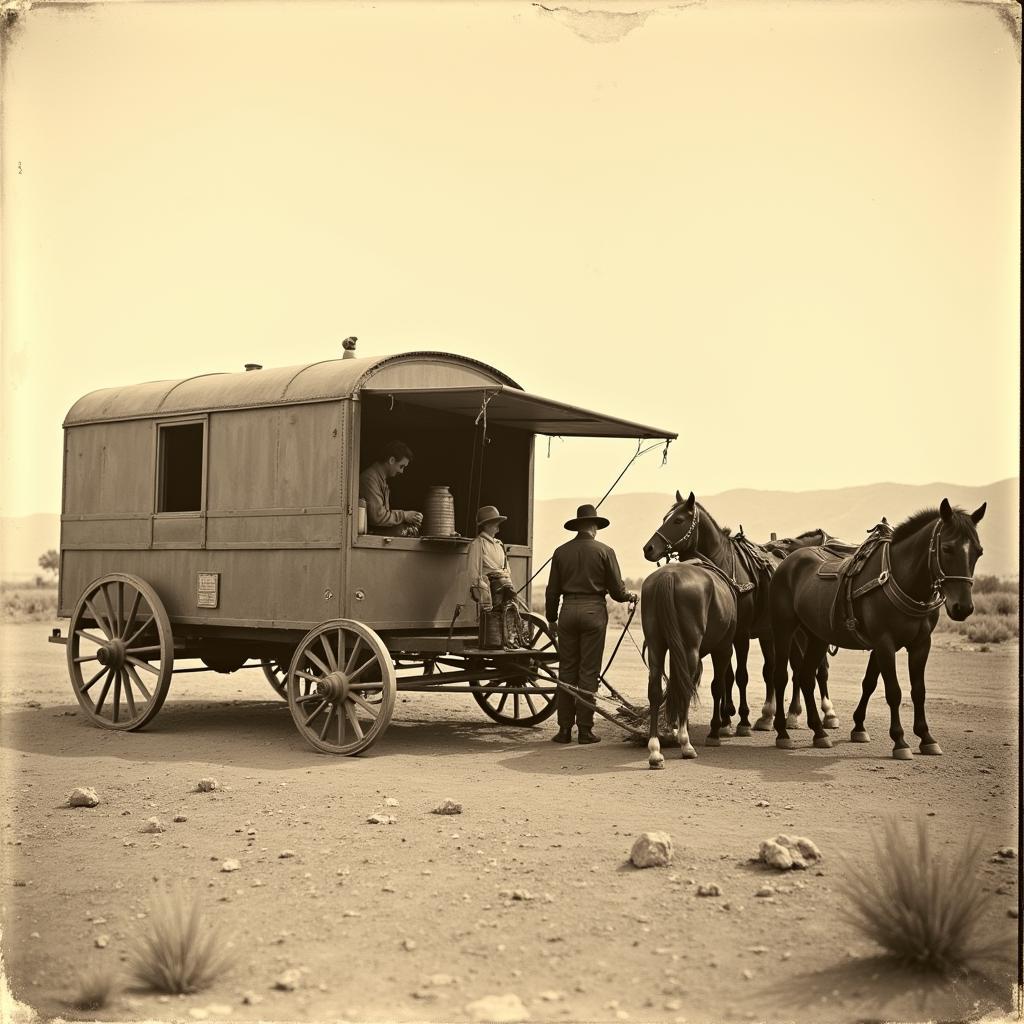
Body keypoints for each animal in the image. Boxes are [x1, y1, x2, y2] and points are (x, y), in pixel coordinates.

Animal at [638, 489, 774, 741]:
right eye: (664, 518)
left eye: (678, 520)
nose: (649, 548)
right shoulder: (723, 638)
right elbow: (724, 678)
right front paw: (725, 720)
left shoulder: (739, 635)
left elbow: (740, 675)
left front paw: (741, 720)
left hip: (770, 634)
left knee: (774, 669)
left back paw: (772, 716)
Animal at [770, 499, 983, 757]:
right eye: (948, 548)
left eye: (978, 552)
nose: (963, 607)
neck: (901, 579)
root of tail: (788, 562)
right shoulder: (884, 643)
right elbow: (893, 691)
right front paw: (900, 741)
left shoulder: (920, 644)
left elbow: (911, 689)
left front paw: (925, 737)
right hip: (784, 629)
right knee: (781, 676)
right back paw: (783, 732)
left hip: (817, 635)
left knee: (807, 677)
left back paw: (819, 732)